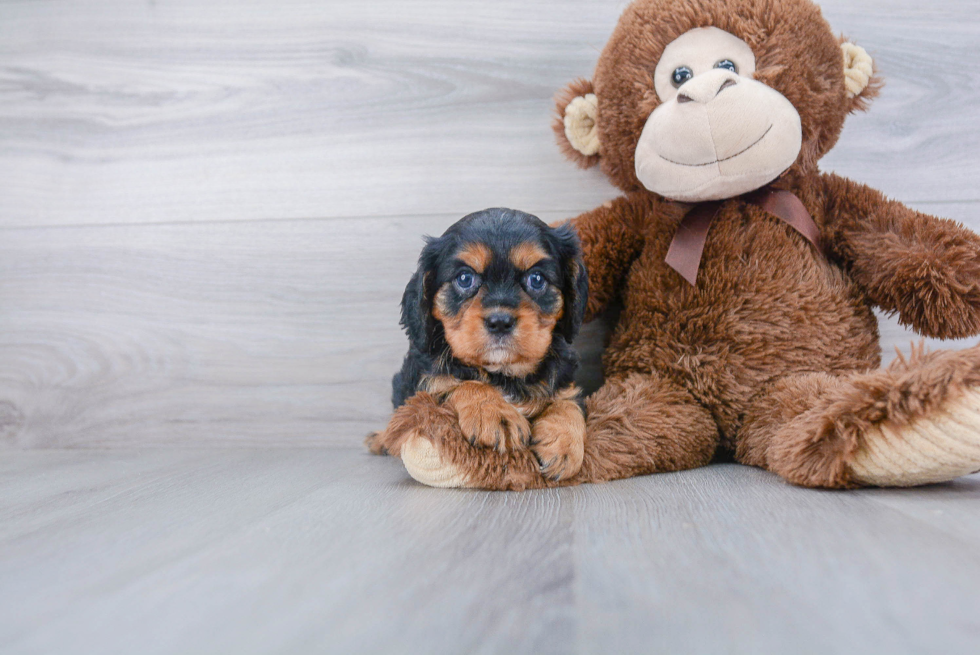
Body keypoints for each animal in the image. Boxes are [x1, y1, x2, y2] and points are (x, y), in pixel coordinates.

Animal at [364, 209, 584, 482]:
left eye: (536, 279)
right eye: (465, 278)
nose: (499, 322)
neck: (502, 373)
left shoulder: (565, 379)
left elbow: (568, 402)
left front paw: (565, 444)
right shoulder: (423, 383)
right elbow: (458, 384)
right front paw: (494, 412)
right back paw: (380, 439)